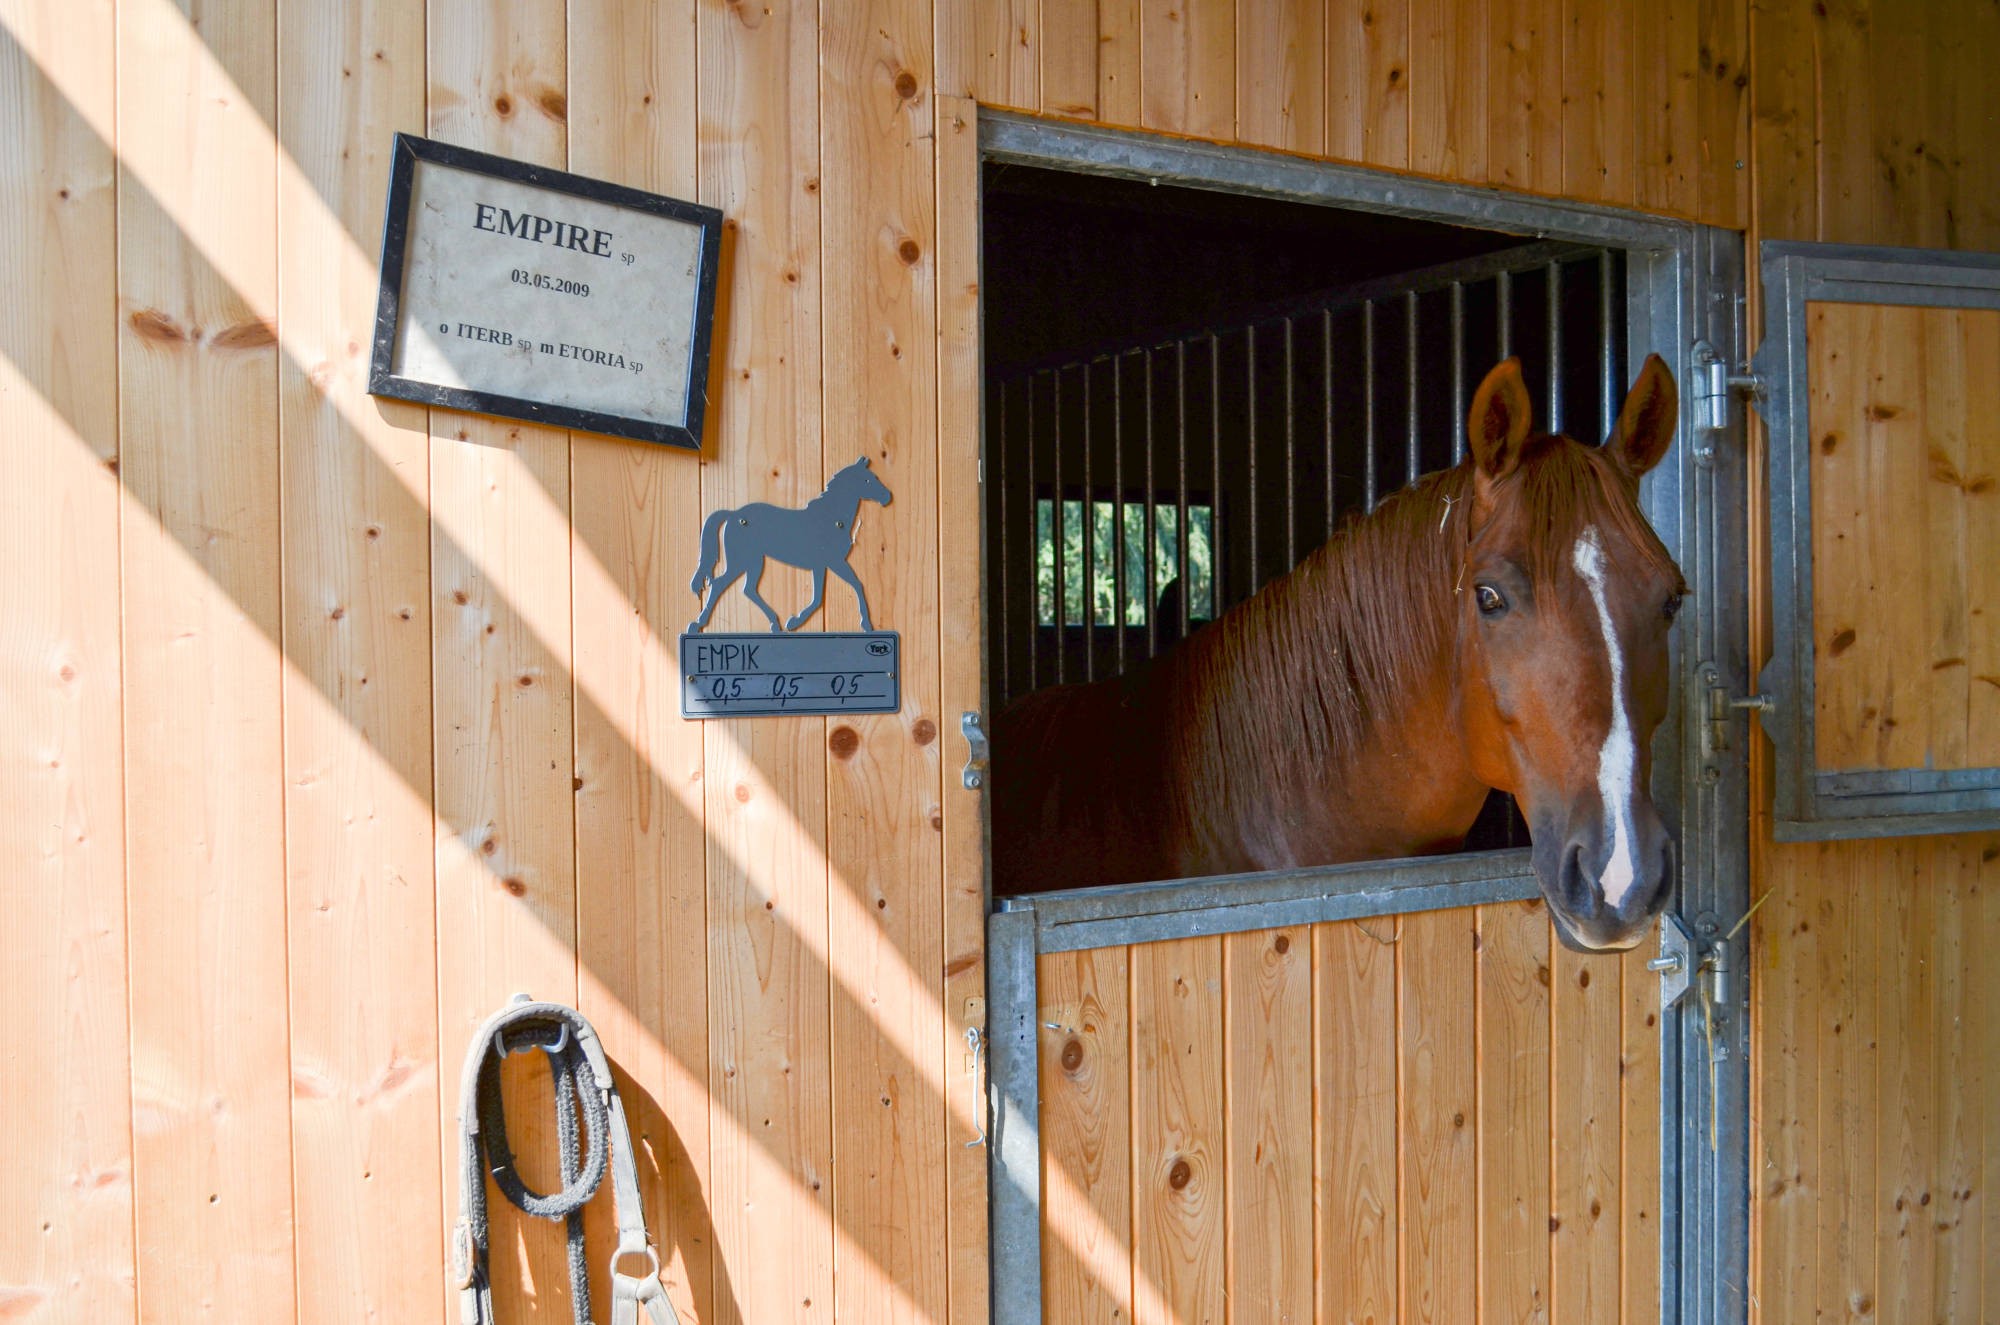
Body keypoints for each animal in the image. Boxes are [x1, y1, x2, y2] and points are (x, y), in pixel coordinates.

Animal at [688, 455, 894, 633]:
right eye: (867, 480)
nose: (887, 497)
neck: (830, 518)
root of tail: (734, 514)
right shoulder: (834, 562)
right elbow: (855, 585)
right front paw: (866, 624)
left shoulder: (822, 565)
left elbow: (819, 597)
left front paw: (794, 621)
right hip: (742, 561)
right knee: (720, 584)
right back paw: (697, 624)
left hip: (753, 561)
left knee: (748, 589)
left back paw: (775, 624)